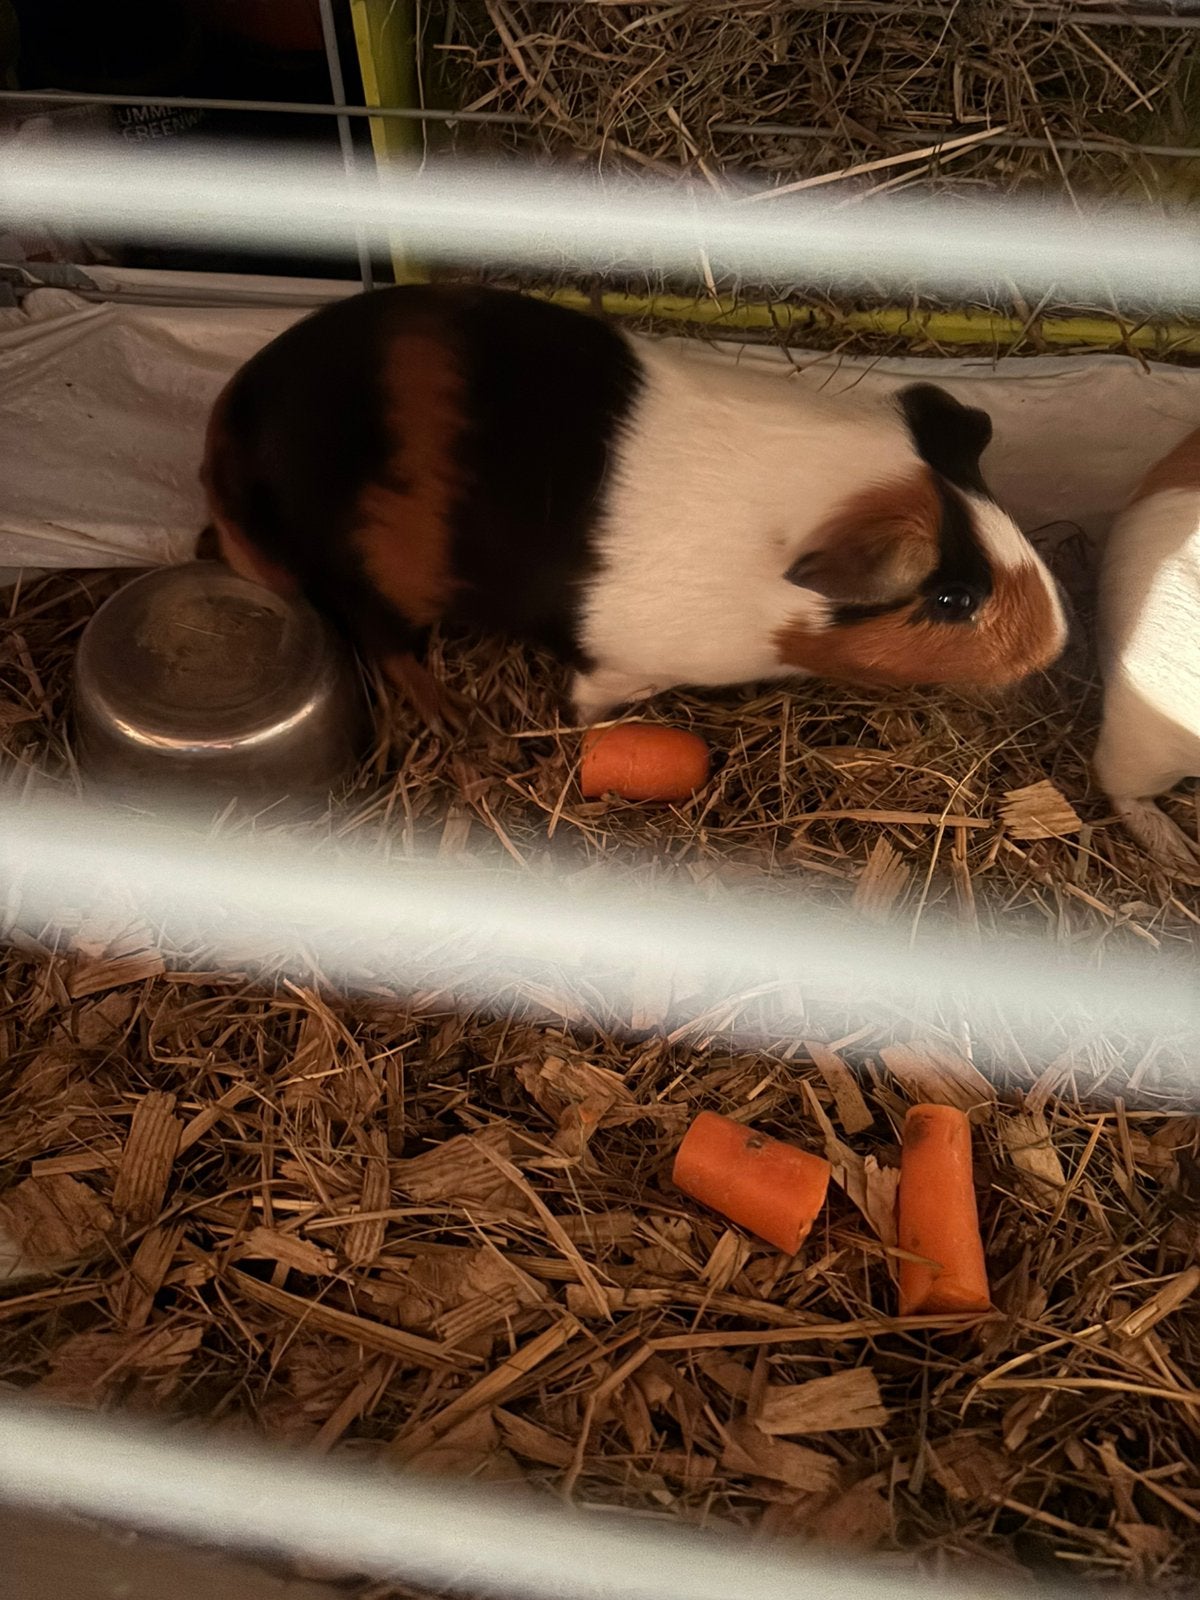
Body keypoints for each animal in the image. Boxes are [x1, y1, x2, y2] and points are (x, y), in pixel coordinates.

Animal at [200, 284, 1066, 727]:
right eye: (954, 599)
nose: (1053, 643)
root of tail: (240, 416)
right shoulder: (624, 664)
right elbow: (595, 699)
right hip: (379, 580)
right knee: (383, 644)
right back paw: (460, 719)